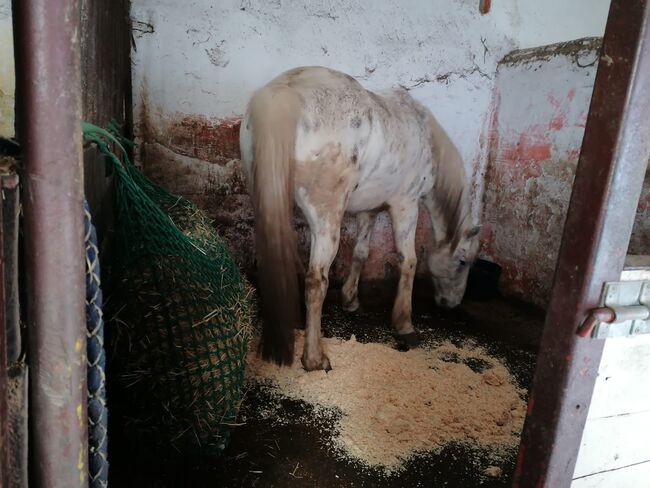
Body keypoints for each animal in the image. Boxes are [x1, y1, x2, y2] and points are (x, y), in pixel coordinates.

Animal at [238, 65, 476, 370]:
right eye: (463, 261)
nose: (452, 304)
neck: (427, 139)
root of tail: (286, 90)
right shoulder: (406, 205)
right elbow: (408, 261)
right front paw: (404, 325)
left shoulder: (368, 210)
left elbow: (361, 253)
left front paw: (351, 300)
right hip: (326, 220)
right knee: (316, 281)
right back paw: (314, 358)